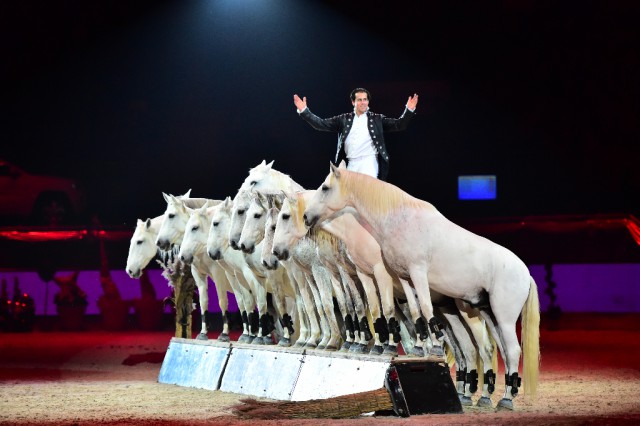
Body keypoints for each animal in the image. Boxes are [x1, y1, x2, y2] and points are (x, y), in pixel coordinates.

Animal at [304, 164, 540, 410]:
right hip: (488, 314)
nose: (306, 216)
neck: (400, 219)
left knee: (512, 350)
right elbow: (417, 314)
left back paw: (506, 399)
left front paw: (434, 347)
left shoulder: (417, 272)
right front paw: (419, 348)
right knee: (500, 350)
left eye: (325, 188)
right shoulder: (406, 278)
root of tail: (526, 273)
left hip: (503, 317)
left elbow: (426, 309)